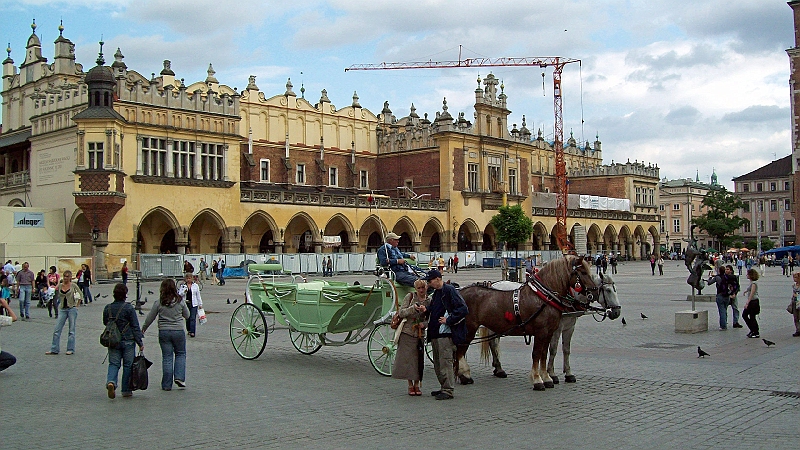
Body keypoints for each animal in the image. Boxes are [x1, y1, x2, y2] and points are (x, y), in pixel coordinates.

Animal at [456, 256, 592, 390]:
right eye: (583, 272)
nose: (591, 293)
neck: (543, 297)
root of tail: (460, 291)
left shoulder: (549, 332)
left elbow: (544, 354)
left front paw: (546, 378)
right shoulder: (541, 331)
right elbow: (536, 354)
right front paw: (537, 379)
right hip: (469, 328)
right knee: (461, 349)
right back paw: (465, 374)